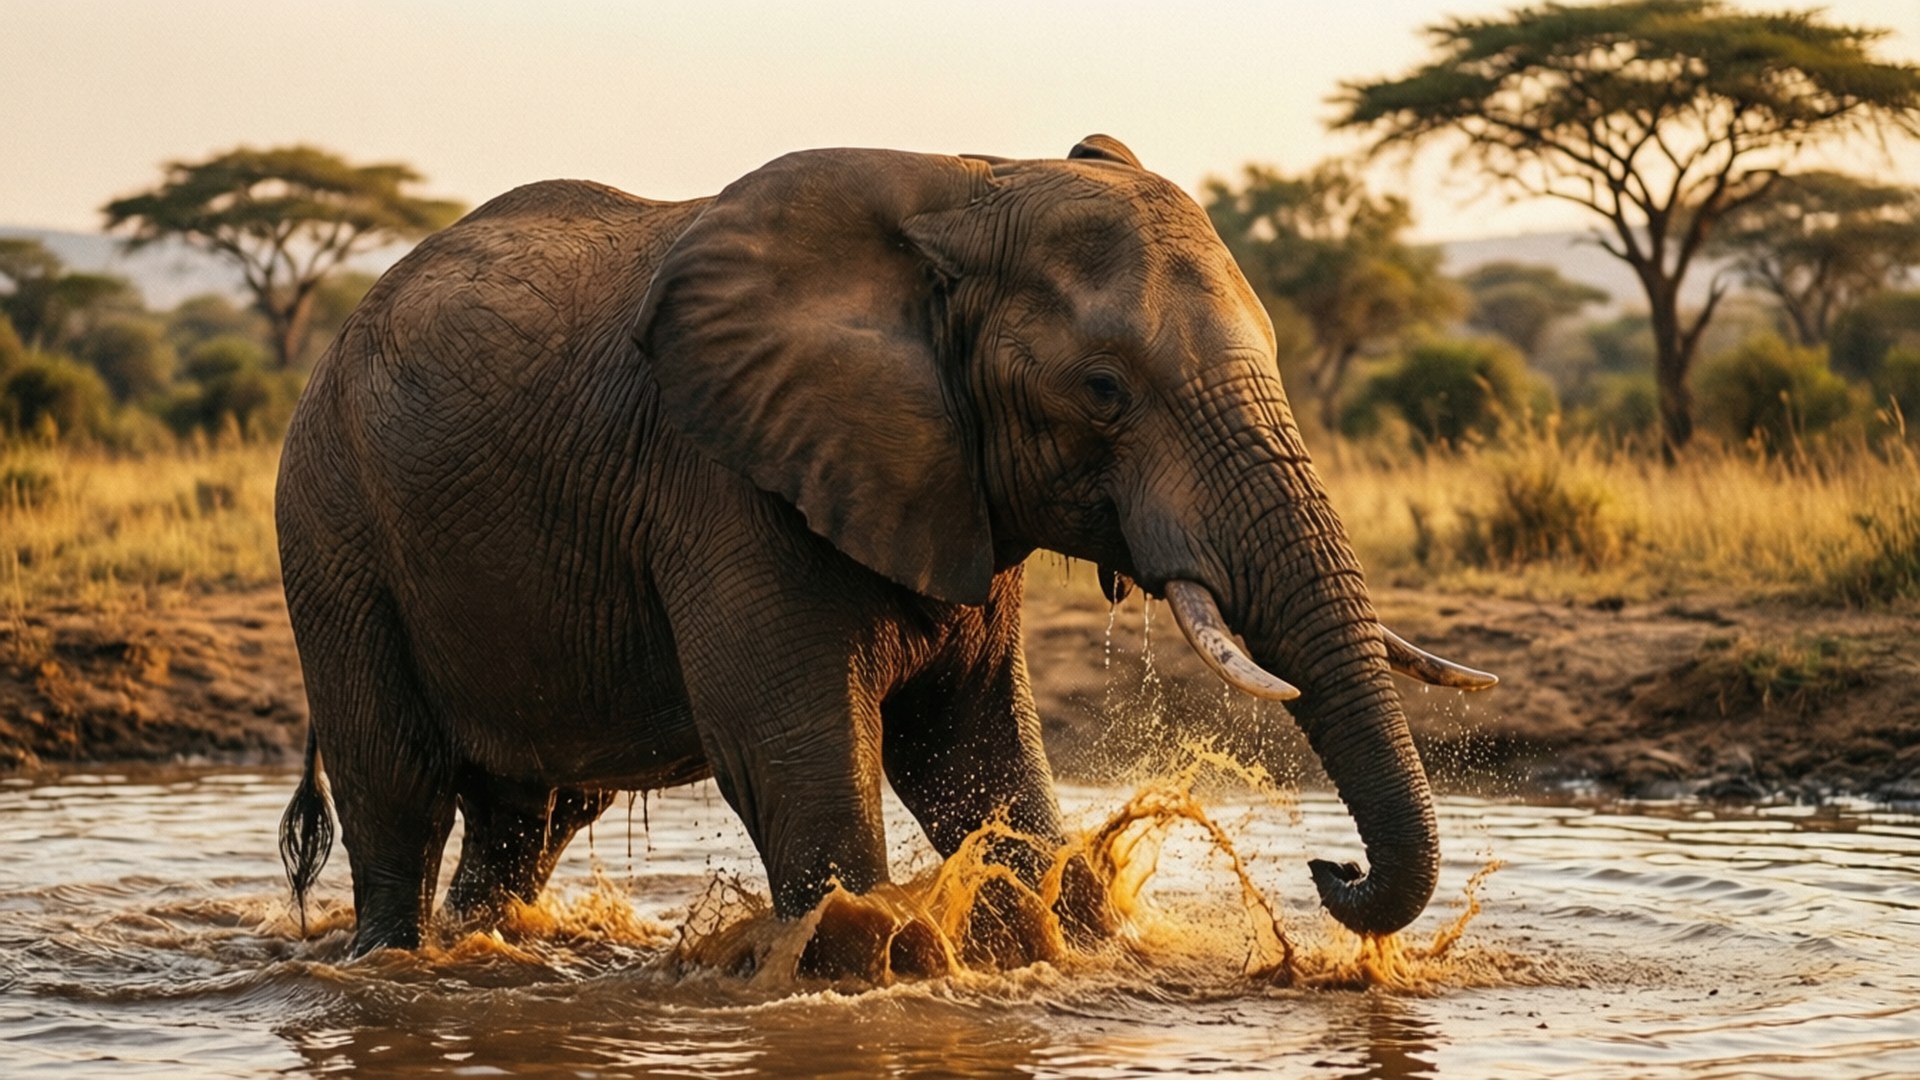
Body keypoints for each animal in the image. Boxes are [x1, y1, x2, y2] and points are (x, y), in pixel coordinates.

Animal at [275, 134, 1495, 958]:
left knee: (526, 818)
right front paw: (859, 968)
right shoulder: (725, 483)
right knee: (398, 789)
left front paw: (1073, 945)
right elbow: (798, 759)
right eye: (1104, 391)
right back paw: (391, 963)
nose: (1329, 867)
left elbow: (977, 757)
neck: (970, 185)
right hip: (332, 528)